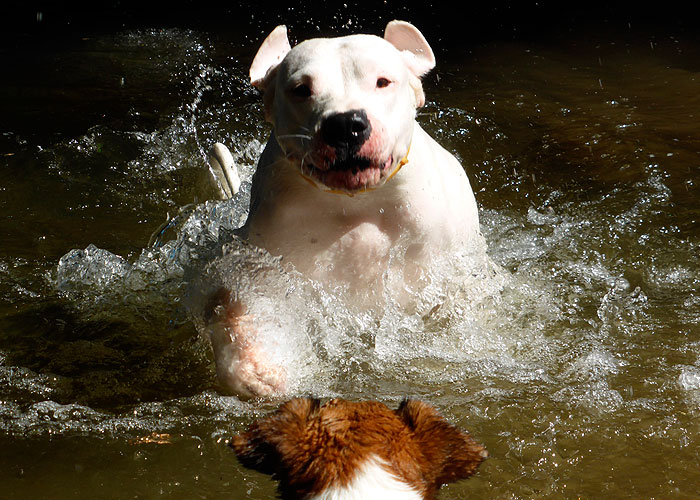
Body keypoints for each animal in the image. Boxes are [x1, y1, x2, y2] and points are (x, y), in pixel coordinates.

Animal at [207, 21, 482, 398]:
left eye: (383, 81)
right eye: (301, 89)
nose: (346, 123)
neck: (356, 204)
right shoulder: (261, 262)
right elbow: (237, 306)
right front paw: (255, 367)